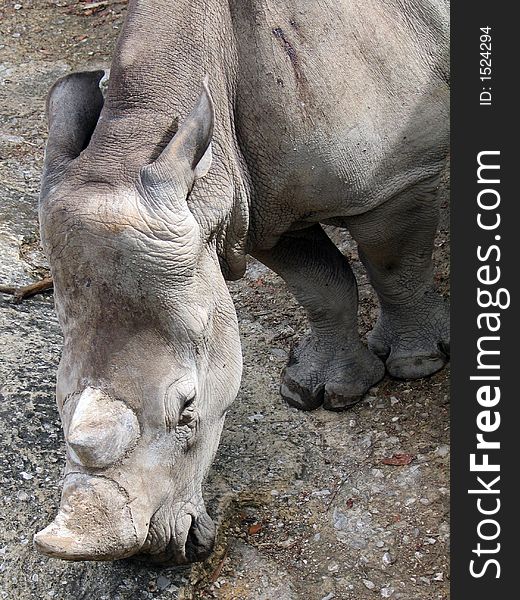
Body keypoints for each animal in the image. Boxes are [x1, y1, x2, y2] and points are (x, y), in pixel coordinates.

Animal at [33, 0, 446, 564]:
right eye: (59, 401)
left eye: (187, 409)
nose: (151, 553)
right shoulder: (253, 203)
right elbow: (321, 285)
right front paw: (311, 391)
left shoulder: (396, 179)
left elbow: (393, 265)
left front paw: (415, 366)